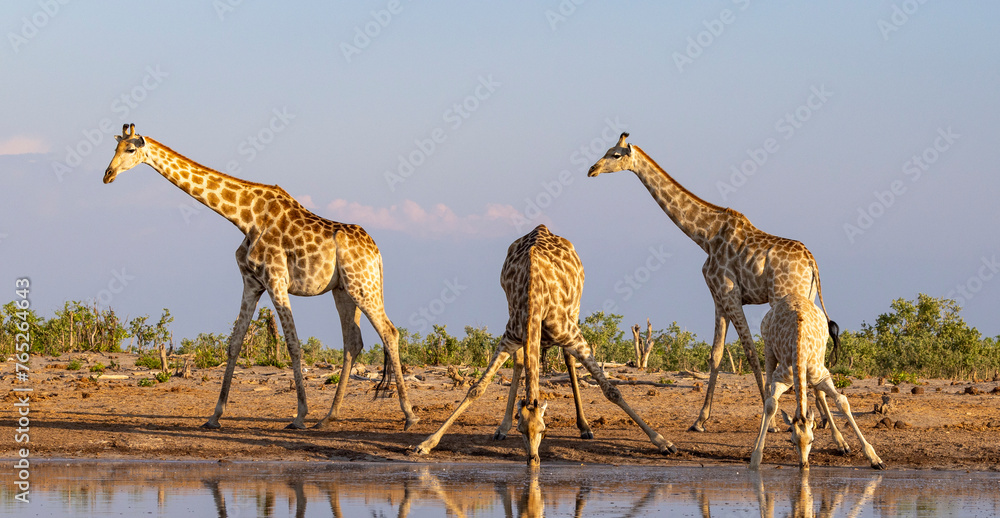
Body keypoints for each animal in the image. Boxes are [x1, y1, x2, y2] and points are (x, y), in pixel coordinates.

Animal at [103, 124, 418, 431]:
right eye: (115, 147)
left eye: (130, 149)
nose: (107, 175)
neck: (245, 218)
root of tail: (376, 253)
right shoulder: (252, 283)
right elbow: (234, 343)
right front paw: (214, 416)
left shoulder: (276, 279)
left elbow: (293, 344)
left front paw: (299, 416)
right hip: (343, 290)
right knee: (353, 342)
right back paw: (329, 416)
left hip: (363, 285)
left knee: (389, 332)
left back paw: (408, 415)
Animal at [414, 225, 675, 465]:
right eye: (521, 429)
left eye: (543, 429)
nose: (533, 459)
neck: (535, 298)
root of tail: (543, 227)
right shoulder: (510, 336)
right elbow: (476, 389)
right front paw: (426, 443)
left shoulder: (572, 336)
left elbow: (611, 390)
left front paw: (663, 442)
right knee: (521, 362)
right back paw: (501, 428)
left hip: (575, 310)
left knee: (568, 360)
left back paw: (585, 427)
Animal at [588, 132, 840, 432]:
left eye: (615, 154)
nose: (592, 169)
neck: (705, 236)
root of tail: (812, 262)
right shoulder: (718, 298)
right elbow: (716, 354)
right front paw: (700, 420)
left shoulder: (729, 294)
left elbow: (750, 351)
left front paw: (772, 422)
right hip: (808, 298)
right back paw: (826, 422)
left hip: (785, 297)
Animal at [749, 293, 886, 470]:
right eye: (792, 442)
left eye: (812, 441)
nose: (804, 464)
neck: (800, 352)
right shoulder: (781, 379)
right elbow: (771, 405)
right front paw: (756, 457)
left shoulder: (822, 376)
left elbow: (842, 401)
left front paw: (875, 458)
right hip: (768, 348)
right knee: (767, 389)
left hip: (822, 353)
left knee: (818, 393)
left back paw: (841, 444)